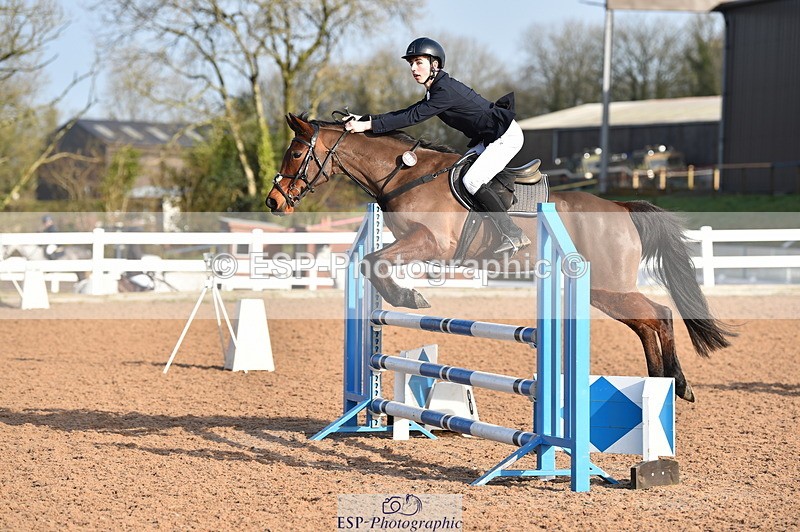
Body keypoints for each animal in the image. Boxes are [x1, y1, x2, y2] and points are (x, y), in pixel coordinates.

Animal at [265, 113, 734, 402]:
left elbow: (372, 262)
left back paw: (676, 384)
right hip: (604, 292)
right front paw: (409, 295)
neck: (403, 174)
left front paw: (409, 298)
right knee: (648, 321)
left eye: (295, 153)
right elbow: (372, 262)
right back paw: (663, 385)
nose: (273, 202)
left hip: (607, 286)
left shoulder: (431, 242)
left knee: (659, 314)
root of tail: (621, 208)